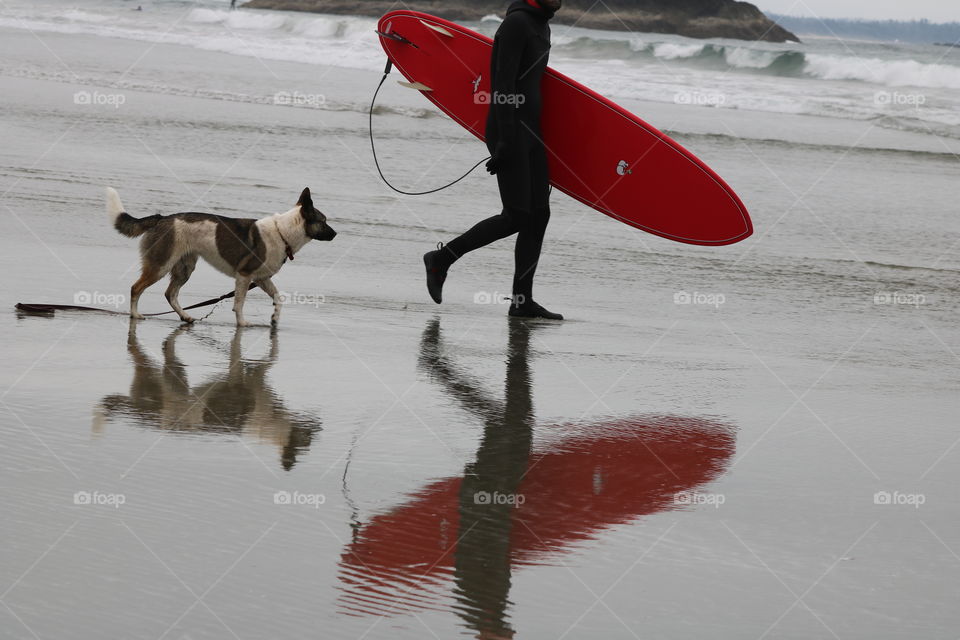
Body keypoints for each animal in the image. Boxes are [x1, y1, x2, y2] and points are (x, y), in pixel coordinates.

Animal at [105, 185, 336, 324]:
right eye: (323, 221)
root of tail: (163, 218)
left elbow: (278, 297)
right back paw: (135, 314)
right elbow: (239, 304)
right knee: (136, 288)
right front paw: (242, 324)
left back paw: (185, 316)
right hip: (161, 265)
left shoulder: (261, 279)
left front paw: (274, 318)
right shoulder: (244, 276)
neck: (282, 232)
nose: (335, 234)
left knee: (170, 294)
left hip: (184, 268)